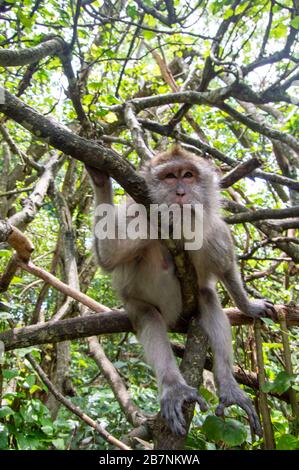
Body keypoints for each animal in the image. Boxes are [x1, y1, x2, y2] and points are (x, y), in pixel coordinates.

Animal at [85, 146, 276, 436]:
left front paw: (248, 305)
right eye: (169, 177)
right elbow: (108, 257)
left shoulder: (215, 229)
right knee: (149, 317)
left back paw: (228, 386)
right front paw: (99, 177)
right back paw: (174, 387)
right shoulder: (137, 217)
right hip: (138, 305)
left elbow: (225, 268)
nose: (180, 193)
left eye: (187, 175)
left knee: (208, 300)